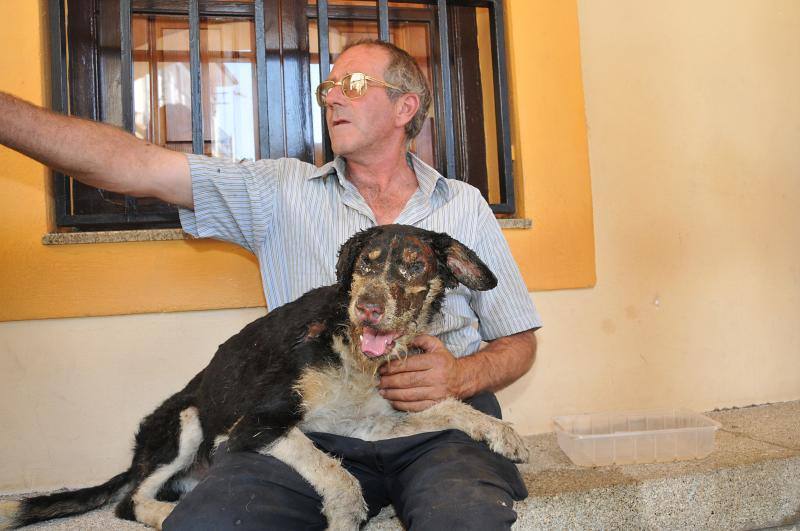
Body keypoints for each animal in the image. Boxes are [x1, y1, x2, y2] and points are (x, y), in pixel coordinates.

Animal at [1, 225, 532, 531]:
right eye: (366, 263)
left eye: (415, 265)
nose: (369, 308)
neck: (348, 348)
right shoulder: (256, 426)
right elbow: (335, 474)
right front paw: (344, 518)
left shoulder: (369, 425)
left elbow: (447, 407)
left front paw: (501, 431)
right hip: (186, 423)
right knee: (129, 502)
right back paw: (166, 515)